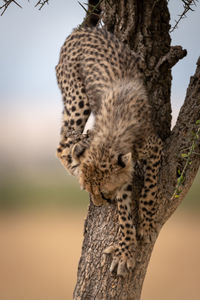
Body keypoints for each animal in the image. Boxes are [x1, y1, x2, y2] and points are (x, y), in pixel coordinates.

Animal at [55, 28, 162, 276]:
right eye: (89, 191)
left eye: (103, 193)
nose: (99, 204)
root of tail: (79, 30)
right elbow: (124, 214)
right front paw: (125, 252)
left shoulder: (154, 148)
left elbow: (150, 188)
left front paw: (147, 224)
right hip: (77, 98)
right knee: (63, 142)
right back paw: (74, 160)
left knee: (64, 140)